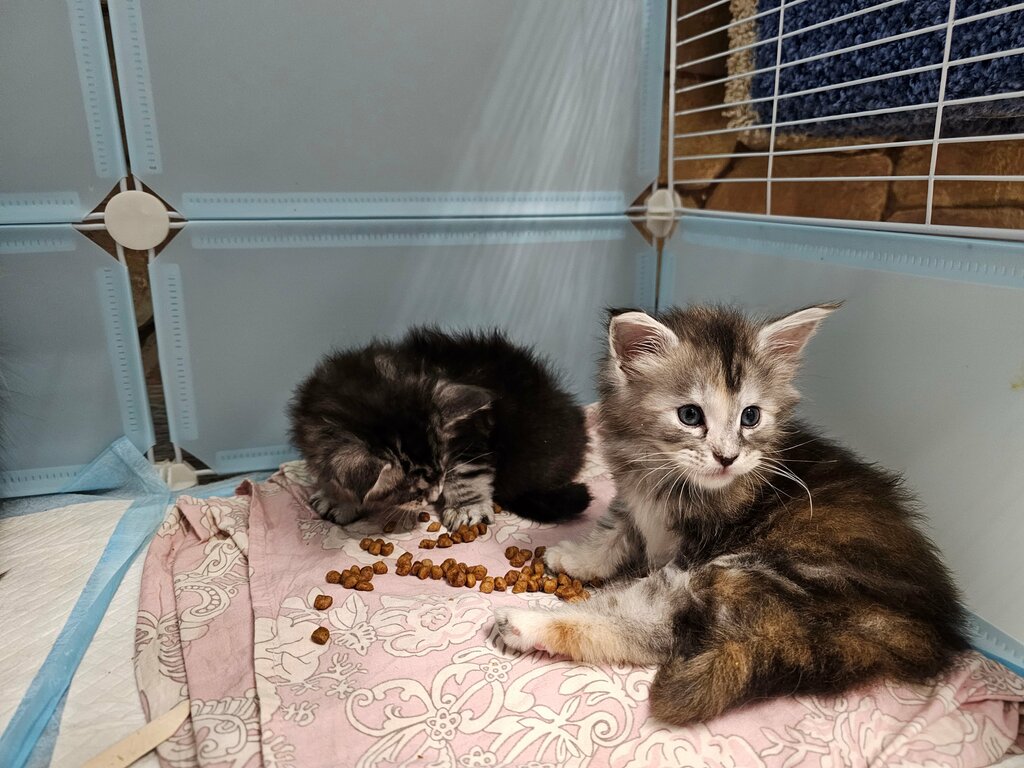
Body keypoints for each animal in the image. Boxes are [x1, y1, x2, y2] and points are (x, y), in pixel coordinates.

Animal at [289, 327, 591, 530]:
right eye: (411, 489)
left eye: (441, 472)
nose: (434, 495)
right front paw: (338, 498)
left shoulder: (469, 432)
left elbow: (467, 472)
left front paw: (466, 507)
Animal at [495, 303, 969, 725]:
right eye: (690, 415)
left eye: (750, 417)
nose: (727, 457)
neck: (668, 477)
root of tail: (913, 631)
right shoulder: (634, 496)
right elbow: (618, 530)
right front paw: (578, 557)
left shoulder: (694, 550)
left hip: (747, 572)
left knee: (651, 625)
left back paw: (525, 623)